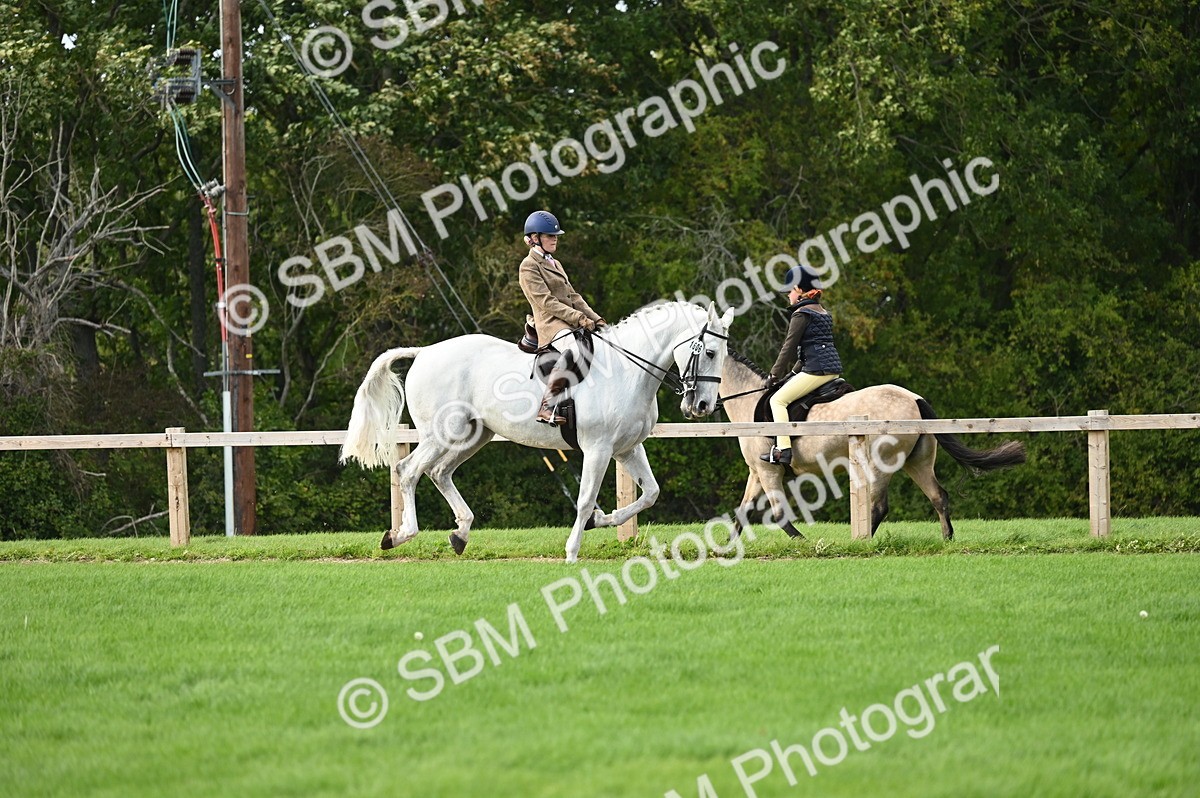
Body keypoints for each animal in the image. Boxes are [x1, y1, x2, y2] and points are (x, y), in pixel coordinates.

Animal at [340, 301, 736, 562]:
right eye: (709, 352)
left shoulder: (627, 448)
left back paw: (460, 533)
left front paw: (602, 520)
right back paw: (400, 535)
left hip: (472, 436)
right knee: (408, 470)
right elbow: (584, 499)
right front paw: (573, 550)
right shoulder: (598, 449)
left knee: (439, 472)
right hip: (441, 434)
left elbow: (650, 493)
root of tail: (424, 352)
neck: (628, 370)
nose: (702, 406)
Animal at [717, 350, 1026, 540]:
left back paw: (862, 542)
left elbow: (779, 514)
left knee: (879, 506)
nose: (702, 406)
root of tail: (914, 399)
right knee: (939, 497)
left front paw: (803, 543)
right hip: (918, 462)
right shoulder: (757, 472)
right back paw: (947, 539)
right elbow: (742, 512)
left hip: (880, 466)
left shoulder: (768, 471)